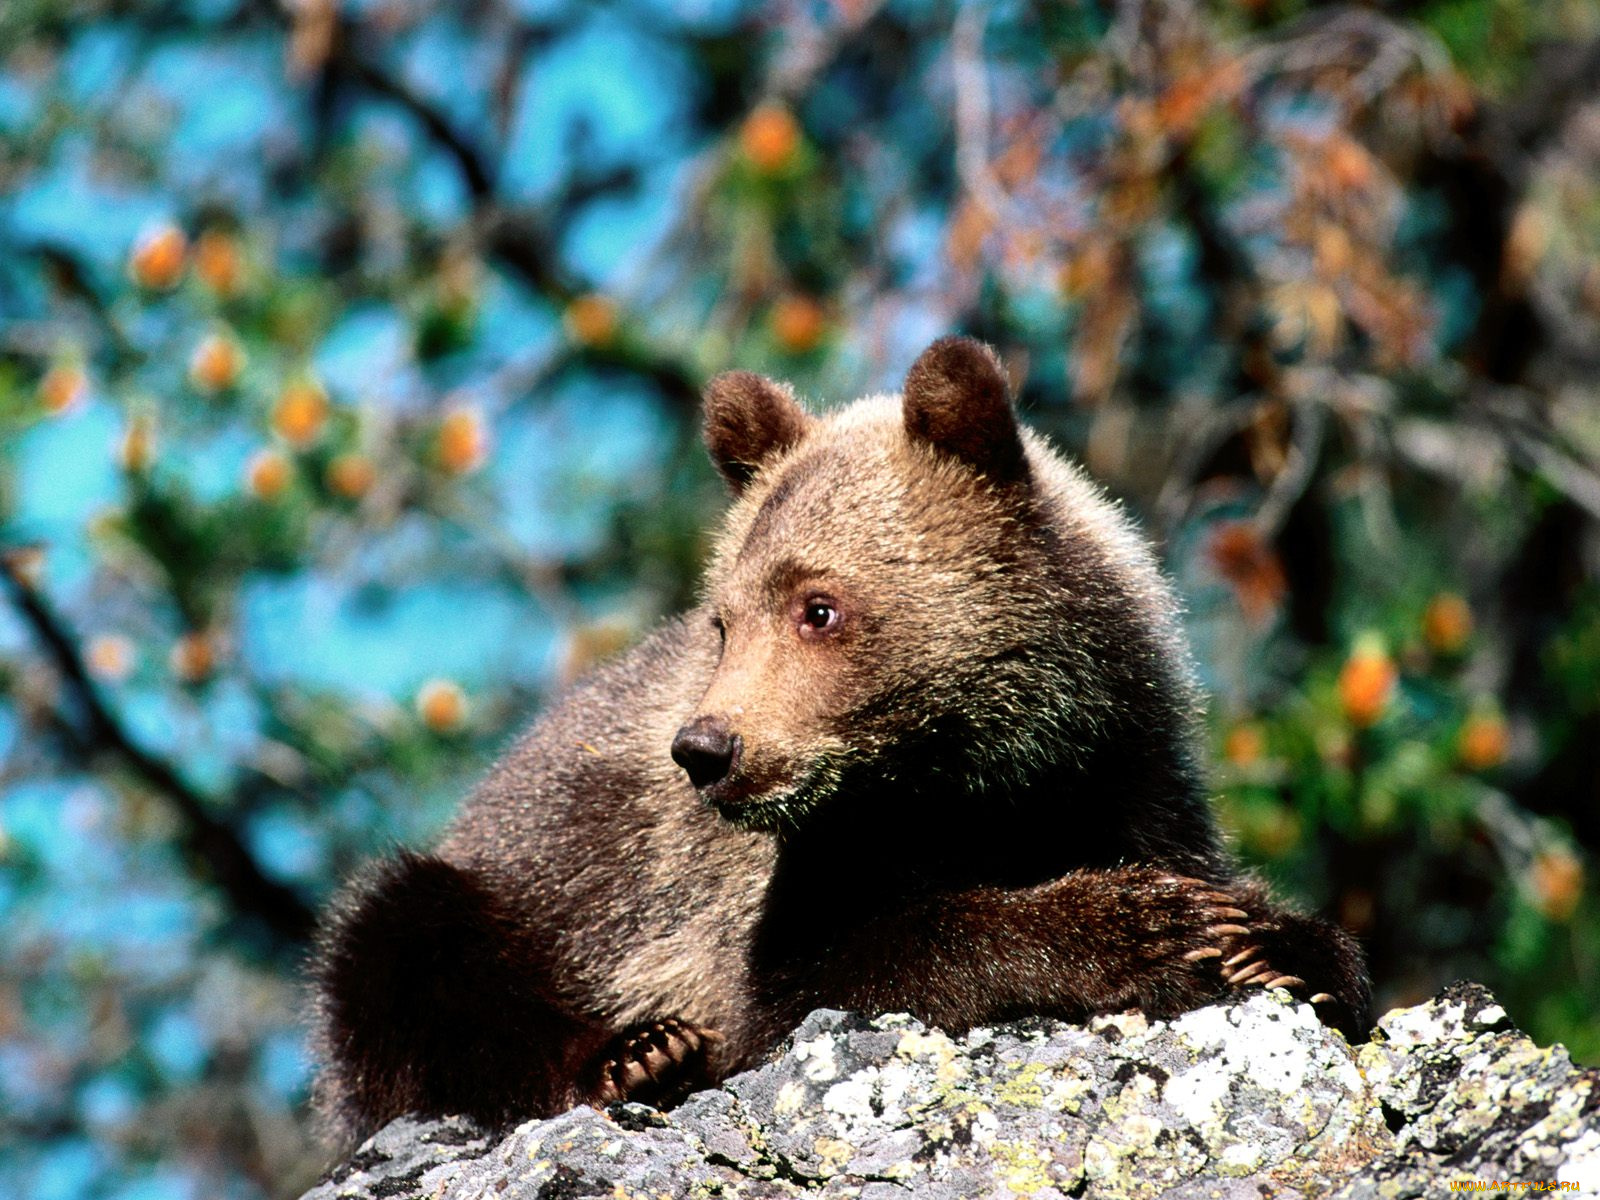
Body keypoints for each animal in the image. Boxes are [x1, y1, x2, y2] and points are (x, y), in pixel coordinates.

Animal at [309, 335, 1370, 1143]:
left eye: (818, 606)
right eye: (724, 620)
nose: (706, 749)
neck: (987, 773)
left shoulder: (1128, 777)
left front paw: (1272, 946)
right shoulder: (773, 891)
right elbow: (831, 969)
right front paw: (1140, 927)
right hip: (522, 890)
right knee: (396, 944)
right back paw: (635, 1055)